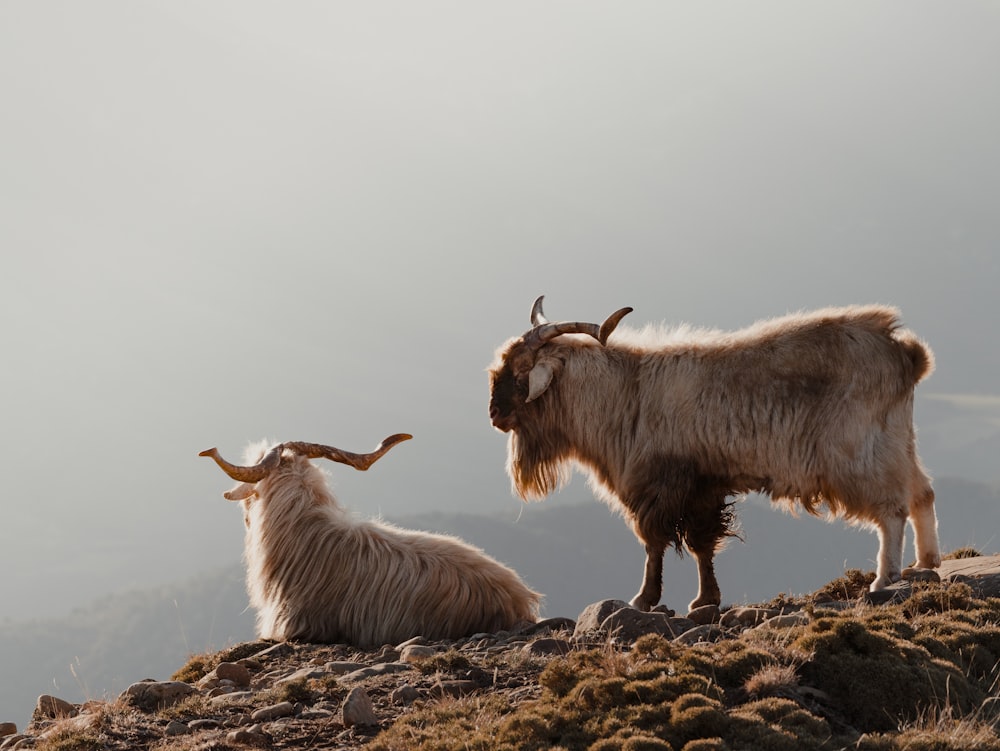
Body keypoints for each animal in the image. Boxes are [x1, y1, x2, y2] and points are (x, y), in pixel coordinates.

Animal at [488, 296, 940, 612]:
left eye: (521, 369)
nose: (494, 415)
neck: (626, 390)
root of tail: (907, 352)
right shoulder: (703, 487)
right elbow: (703, 546)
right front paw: (705, 599)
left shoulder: (659, 486)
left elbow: (655, 545)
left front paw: (644, 599)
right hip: (899, 439)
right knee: (923, 493)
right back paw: (927, 562)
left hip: (860, 453)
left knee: (893, 509)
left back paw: (885, 577)